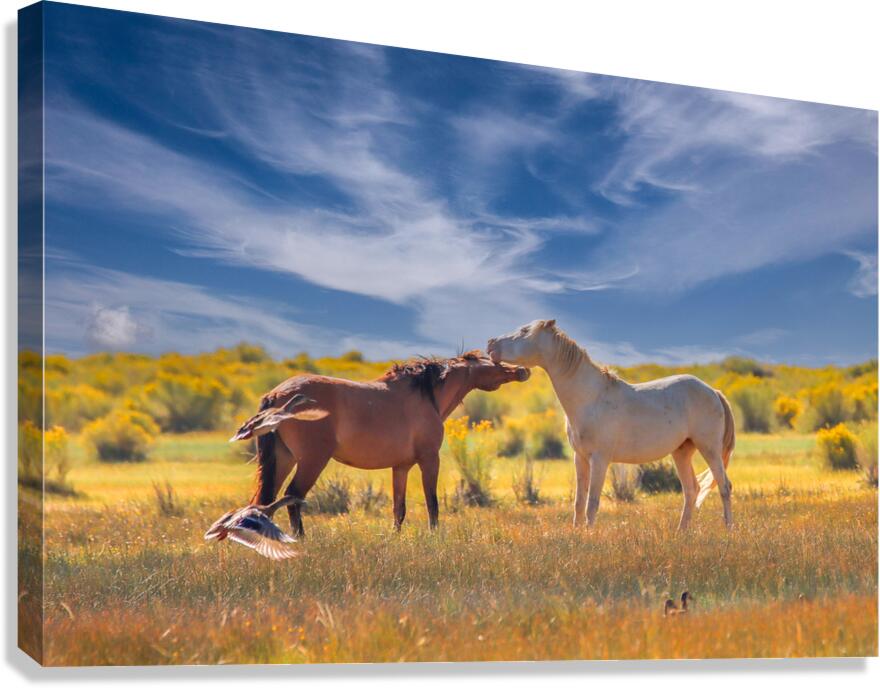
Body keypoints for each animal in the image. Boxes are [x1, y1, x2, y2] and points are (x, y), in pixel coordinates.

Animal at [239, 351, 530, 535]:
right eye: (495, 361)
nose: (523, 370)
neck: (426, 395)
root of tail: (276, 394)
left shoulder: (401, 467)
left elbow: (398, 508)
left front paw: (395, 537)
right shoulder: (429, 459)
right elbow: (432, 503)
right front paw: (435, 537)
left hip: (284, 459)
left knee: (265, 501)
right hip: (312, 461)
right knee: (292, 498)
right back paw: (300, 540)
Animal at [487, 320, 735, 531]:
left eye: (524, 331)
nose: (491, 344)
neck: (590, 397)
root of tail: (713, 391)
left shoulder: (600, 459)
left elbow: (592, 503)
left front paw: (589, 536)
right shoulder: (581, 458)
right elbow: (579, 502)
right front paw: (577, 534)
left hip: (709, 449)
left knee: (724, 487)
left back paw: (728, 531)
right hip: (682, 452)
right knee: (691, 490)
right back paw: (681, 532)